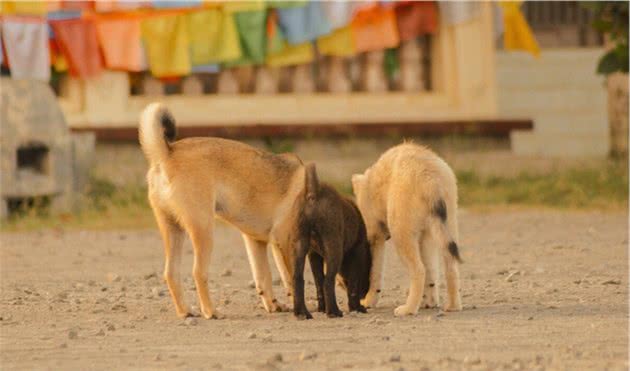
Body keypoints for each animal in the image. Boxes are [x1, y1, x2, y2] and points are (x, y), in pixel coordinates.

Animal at [140, 102, 304, 320]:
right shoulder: (285, 244)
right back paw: (211, 312)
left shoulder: (258, 242)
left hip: (173, 230)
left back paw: (185, 311)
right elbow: (293, 278)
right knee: (198, 272)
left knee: (171, 273)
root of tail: (167, 153)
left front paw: (274, 305)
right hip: (203, 230)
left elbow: (265, 277)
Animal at [294, 164, 372, 322]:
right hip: (333, 247)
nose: (365, 294)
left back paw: (302, 313)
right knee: (328, 281)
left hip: (300, 244)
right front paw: (357, 308)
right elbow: (353, 283)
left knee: (299, 278)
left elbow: (318, 281)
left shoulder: (313, 255)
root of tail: (314, 193)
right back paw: (334, 312)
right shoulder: (358, 251)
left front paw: (321, 309)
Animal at [350, 143, 464, 316]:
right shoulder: (425, 236)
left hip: (401, 232)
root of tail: (430, 179)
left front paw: (368, 302)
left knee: (419, 270)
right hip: (448, 226)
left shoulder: (375, 236)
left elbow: (375, 271)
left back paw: (408, 309)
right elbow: (432, 273)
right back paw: (452, 306)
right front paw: (429, 302)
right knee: (450, 267)